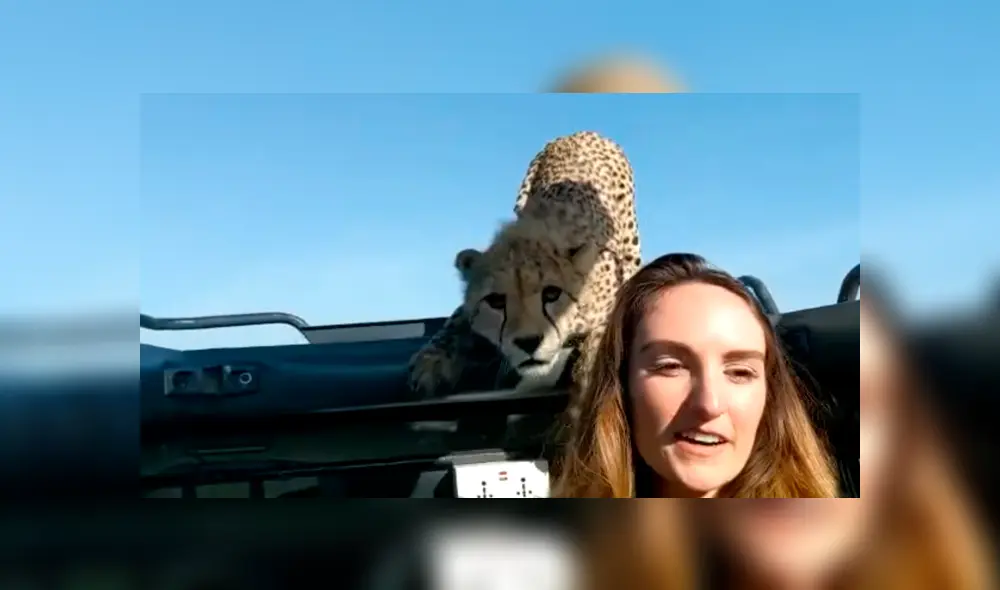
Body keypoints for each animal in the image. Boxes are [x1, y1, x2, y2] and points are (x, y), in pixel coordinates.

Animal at [406, 131, 642, 411]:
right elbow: (455, 323)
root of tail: (579, 132)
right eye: (496, 301)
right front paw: (431, 363)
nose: (528, 343)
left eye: (552, 294)